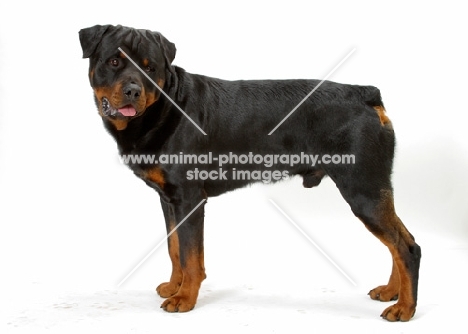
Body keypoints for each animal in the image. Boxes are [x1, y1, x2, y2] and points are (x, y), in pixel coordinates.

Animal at [79, 24, 420, 320]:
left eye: (150, 69)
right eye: (114, 61)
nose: (133, 91)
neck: (164, 107)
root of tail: (366, 94)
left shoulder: (189, 199)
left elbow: (191, 255)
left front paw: (185, 298)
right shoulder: (169, 199)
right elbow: (174, 247)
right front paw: (174, 287)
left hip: (363, 189)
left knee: (406, 247)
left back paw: (404, 308)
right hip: (373, 189)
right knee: (398, 240)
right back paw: (391, 292)